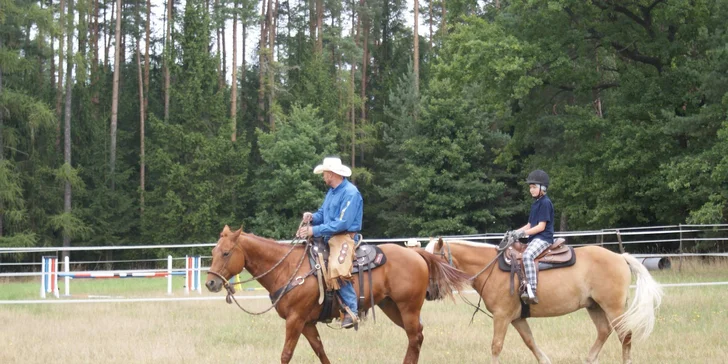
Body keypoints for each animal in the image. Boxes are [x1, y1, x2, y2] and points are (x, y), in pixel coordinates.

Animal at [205, 226, 470, 362]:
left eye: (226, 253)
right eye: (214, 251)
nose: (210, 283)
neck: (288, 269)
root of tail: (416, 254)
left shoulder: (295, 320)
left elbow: (286, 354)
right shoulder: (307, 323)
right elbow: (320, 350)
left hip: (408, 307)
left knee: (415, 338)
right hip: (392, 307)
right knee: (416, 336)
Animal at [424, 237, 664, 362]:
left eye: (433, 261)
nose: (427, 292)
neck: (491, 268)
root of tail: (619, 257)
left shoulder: (502, 317)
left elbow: (496, 346)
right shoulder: (517, 318)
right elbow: (530, 342)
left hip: (613, 307)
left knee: (625, 336)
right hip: (594, 306)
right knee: (604, 331)